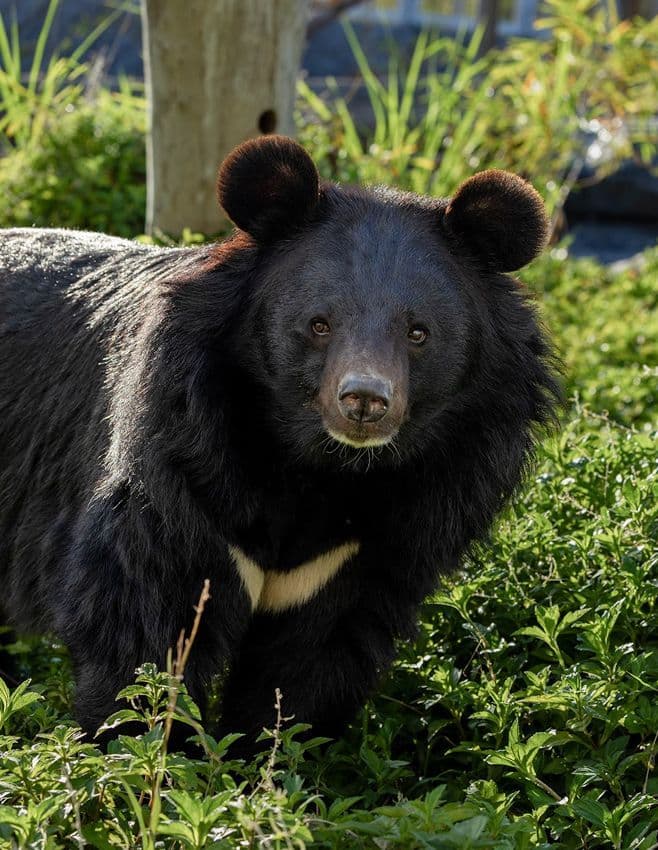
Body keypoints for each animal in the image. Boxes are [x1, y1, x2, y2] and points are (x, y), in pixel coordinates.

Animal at [0, 135, 559, 751]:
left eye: (418, 333)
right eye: (319, 324)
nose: (364, 401)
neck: (317, 466)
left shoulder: (380, 536)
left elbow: (308, 660)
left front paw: (266, 758)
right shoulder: (182, 464)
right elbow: (144, 619)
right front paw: (143, 754)